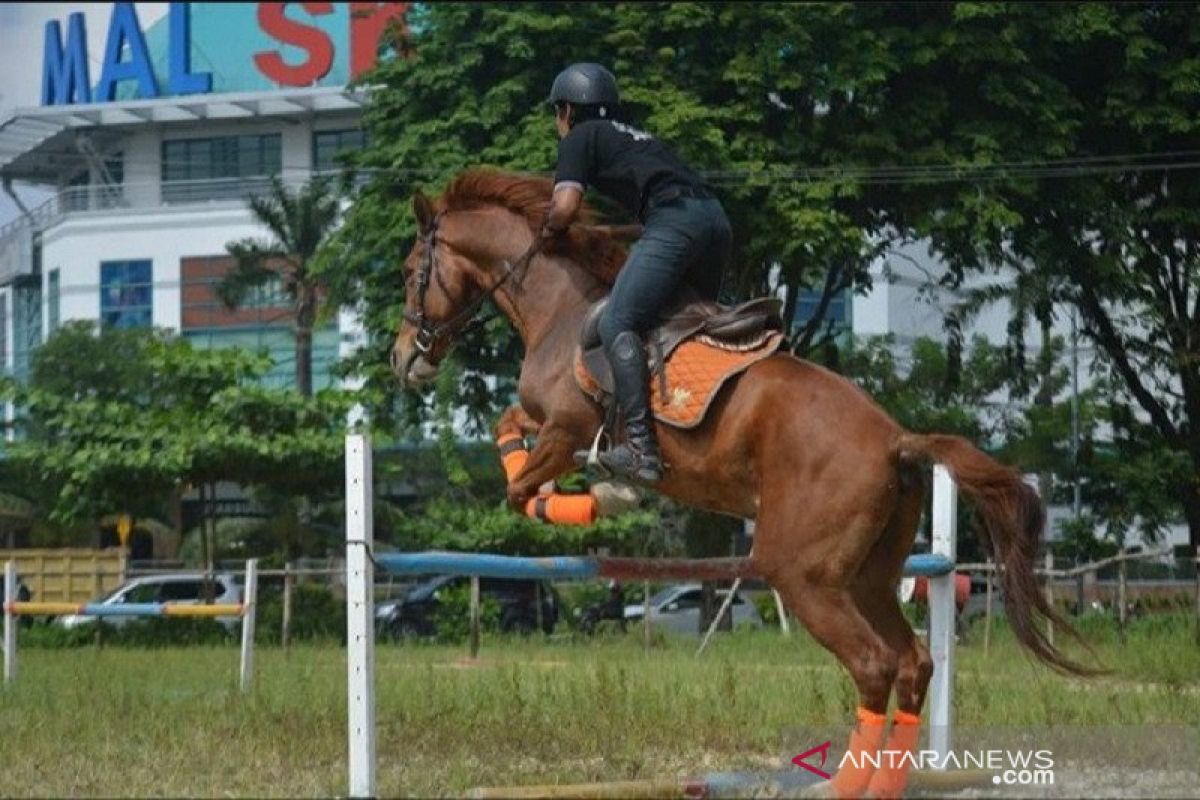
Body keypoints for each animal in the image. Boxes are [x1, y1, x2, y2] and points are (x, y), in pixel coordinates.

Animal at [388, 169, 1094, 800]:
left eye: (409, 268)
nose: (402, 358)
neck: (558, 307)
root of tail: (896, 439)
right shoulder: (545, 422)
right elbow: (509, 423)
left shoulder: (566, 428)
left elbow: (519, 485)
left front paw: (604, 494)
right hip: (864, 577)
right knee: (914, 662)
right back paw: (883, 783)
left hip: (799, 573)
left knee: (874, 665)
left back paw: (843, 786)